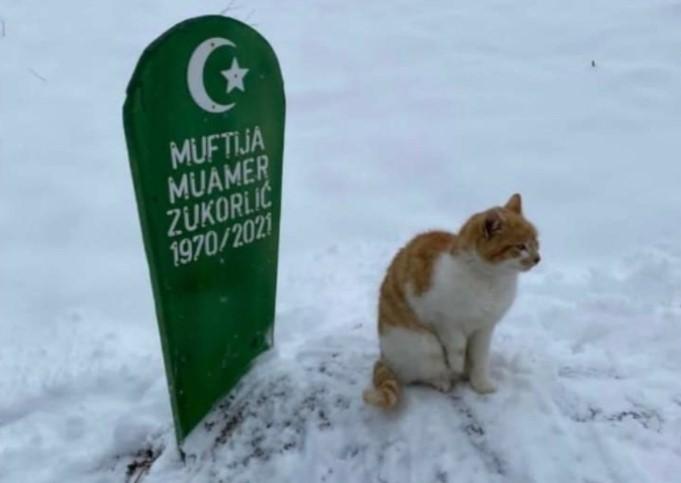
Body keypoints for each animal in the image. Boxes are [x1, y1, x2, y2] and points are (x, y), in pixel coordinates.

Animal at [364, 193, 540, 408]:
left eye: (536, 241)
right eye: (520, 246)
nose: (538, 258)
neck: (490, 280)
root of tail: (384, 356)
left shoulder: (484, 328)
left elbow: (479, 358)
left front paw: (480, 384)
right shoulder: (441, 319)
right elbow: (457, 346)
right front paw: (458, 363)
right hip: (424, 344)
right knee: (422, 373)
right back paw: (443, 380)